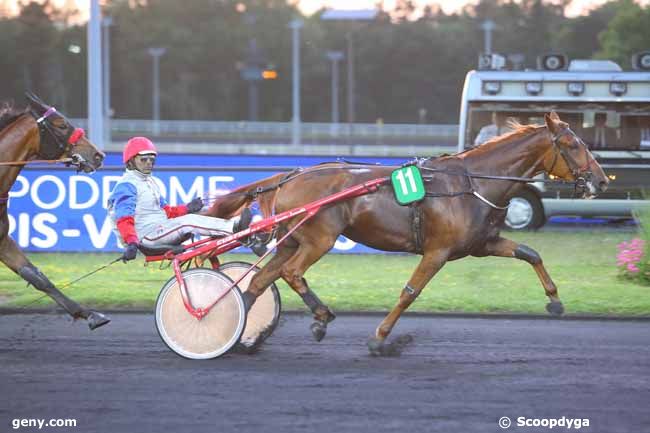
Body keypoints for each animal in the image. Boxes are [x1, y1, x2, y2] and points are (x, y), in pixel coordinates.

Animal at [206, 113, 608, 352]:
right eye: (572, 145)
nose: (601, 181)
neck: (472, 183)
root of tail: (291, 176)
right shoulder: (437, 252)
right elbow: (410, 292)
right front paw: (380, 338)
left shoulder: (483, 243)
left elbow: (530, 253)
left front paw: (554, 300)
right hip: (319, 238)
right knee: (291, 273)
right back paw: (319, 317)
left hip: (292, 240)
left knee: (260, 281)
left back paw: (239, 331)